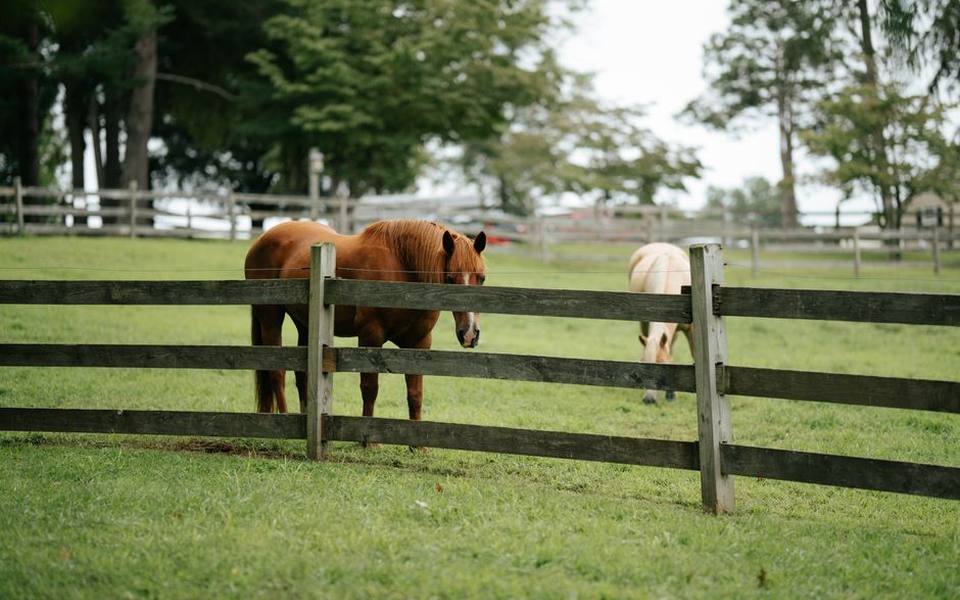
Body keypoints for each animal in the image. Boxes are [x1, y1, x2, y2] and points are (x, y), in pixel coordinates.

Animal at [244, 219, 487, 420]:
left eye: (482, 278)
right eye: (450, 278)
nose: (469, 334)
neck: (402, 268)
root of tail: (262, 239)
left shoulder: (419, 342)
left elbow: (415, 392)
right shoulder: (371, 336)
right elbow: (370, 388)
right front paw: (369, 441)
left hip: (305, 324)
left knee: (301, 374)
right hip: (270, 317)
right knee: (277, 372)